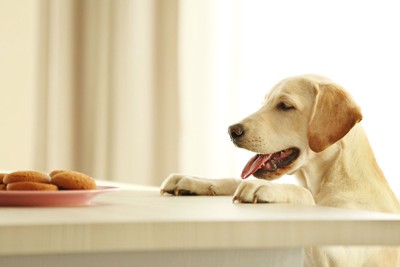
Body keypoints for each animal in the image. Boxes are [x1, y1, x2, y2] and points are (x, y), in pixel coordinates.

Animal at [159, 74, 400, 266]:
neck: (328, 179)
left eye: (285, 106)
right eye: (264, 103)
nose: (231, 131)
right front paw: (193, 180)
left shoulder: (334, 255)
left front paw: (264, 189)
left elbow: (303, 195)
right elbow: (236, 179)